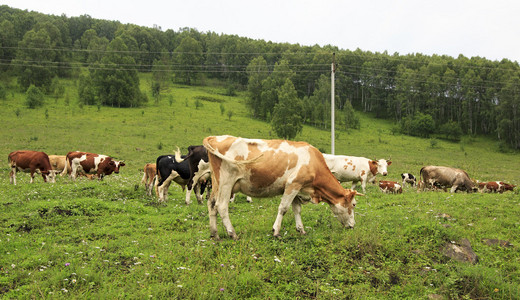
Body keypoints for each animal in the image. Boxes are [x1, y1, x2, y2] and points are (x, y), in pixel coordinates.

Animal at [201, 135, 364, 240]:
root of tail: (217, 137)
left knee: (211, 204)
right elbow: (283, 208)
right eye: (354, 205)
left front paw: (301, 230)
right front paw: (276, 231)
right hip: (226, 182)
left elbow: (297, 210)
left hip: (216, 184)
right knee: (221, 206)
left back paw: (214, 234)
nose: (353, 226)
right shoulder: (293, 184)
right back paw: (232, 233)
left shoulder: (298, 188)